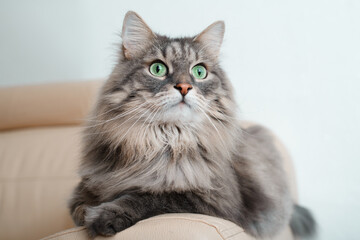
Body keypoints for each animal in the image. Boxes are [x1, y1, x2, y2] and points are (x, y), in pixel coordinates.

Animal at [67, 10, 316, 238]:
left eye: (199, 71)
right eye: (157, 69)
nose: (185, 87)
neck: (164, 142)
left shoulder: (212, 201)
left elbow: (149, 197)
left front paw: (103, 216)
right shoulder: (89, 183)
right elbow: (77, 203)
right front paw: (86, 212)